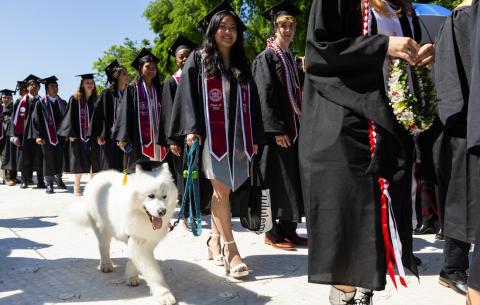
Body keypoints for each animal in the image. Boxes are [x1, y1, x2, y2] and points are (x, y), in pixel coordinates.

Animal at [79, 163, 179, 302]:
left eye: (165, 196)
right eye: (151, 196)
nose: (162, 211)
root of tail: (98, 175)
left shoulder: (145, 240)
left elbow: (133, 260)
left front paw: (131, 277)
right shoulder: (138, 242)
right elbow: (154, 273)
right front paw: (164, 294)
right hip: (101, 227)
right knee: (104, 247)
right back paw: (106, 265)